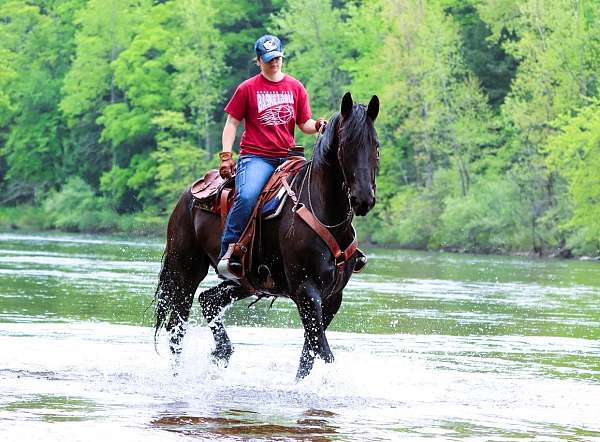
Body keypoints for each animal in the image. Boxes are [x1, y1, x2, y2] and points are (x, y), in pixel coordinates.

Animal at [155, 91, 380, 378]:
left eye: (376, 146)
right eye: (345, 146)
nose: (363, 199)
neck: (326, 215)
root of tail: (188, 195)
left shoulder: (332, 296)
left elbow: (310, 352)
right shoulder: (306, 290)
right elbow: (322, 350)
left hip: (244, 281)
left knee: (209, 300)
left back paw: (222, 352)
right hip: (185, 269)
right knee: (177, 325)